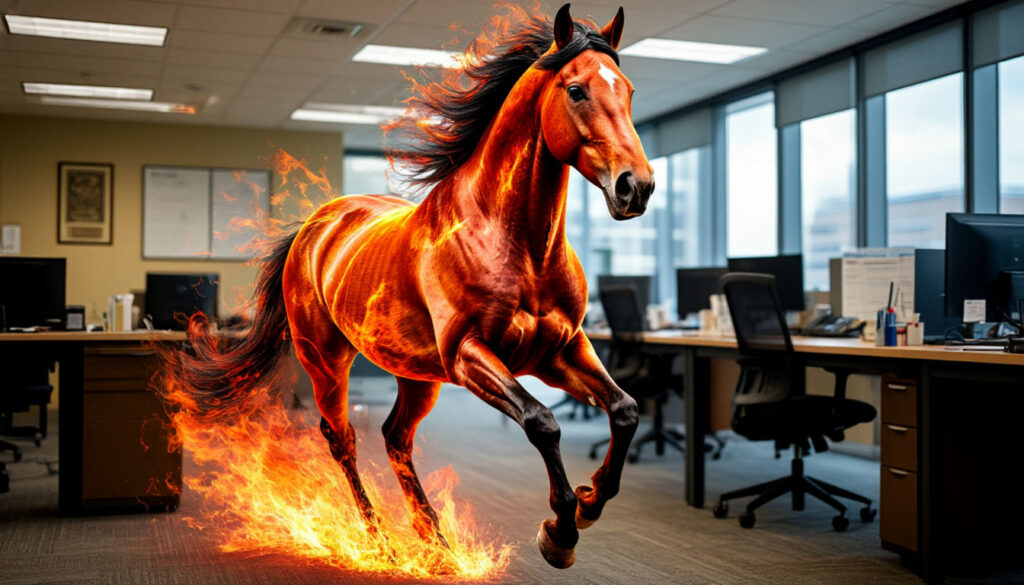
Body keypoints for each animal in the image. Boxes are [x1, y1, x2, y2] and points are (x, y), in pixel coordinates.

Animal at [174, 4, 654, 569]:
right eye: (576, 90)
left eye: (628, 90)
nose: (637, 187)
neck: (517, 245)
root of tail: (314, 226)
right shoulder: (469, 356)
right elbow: (542, 421)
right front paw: (560, 530)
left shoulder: (561, 351)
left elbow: (625, 410)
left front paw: (588, 501)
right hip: (326, 362)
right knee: (343, 438)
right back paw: (379, 539)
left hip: (416, 375)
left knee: (395, 437)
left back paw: (435, 542)